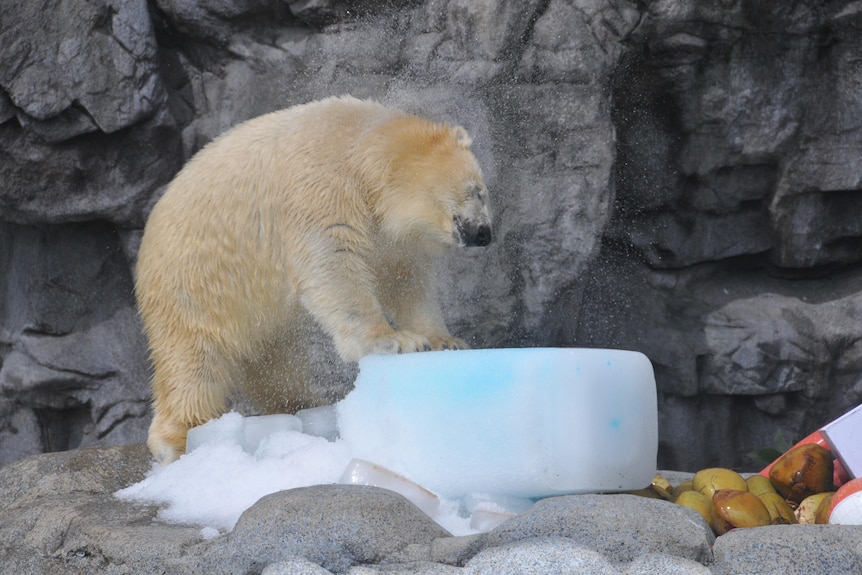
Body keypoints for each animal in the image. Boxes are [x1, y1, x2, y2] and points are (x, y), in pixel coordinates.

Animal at [135, 94, 492, 464]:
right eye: (478, 190)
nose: (486, 233)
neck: (359, 147)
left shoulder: (391, 239)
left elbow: (407, 282)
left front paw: (444, 340)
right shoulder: (321, 188)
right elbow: (333, 263)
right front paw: (395, 340)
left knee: (274, 359)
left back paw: (303, 403)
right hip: (194, 285)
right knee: (194, 363)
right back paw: (181, 439)